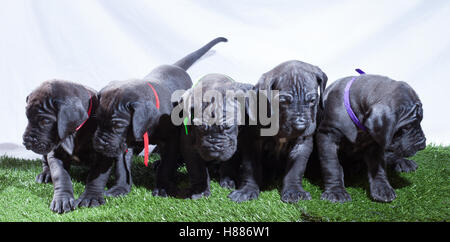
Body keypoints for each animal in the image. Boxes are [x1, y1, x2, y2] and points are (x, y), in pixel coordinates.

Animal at [22, 80, 130, 214]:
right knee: (45, 161)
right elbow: (60, 175)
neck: (73, 133)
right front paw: (62, 199)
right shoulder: (56, 154)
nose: (26, 142)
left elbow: (97, 177)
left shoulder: (104, 153)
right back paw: (46, 174)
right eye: (27, 117)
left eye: (45, 121)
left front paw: (91, 197)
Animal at [92, 37, 227, 197]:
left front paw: (163, 187)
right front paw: (121, 188)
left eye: (118, 126)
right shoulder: (123, 143)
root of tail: (176, 66)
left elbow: (166, 165)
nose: (99, 143)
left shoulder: (171, 141)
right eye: (97, 120)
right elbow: (122, 168)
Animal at [230, 60, 328, 202]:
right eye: (283, 102)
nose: (300, 127)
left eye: (312, 101)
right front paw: (247, 190)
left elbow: (296, 169)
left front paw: (294, 191)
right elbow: (250, 168)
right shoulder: (252, 141)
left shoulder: (302, 144)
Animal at [316, 73, 426, 202]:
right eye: (407, 126)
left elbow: (378, 167)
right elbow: (332, 165)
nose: (422, 144)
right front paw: (336, 192)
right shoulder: (327, 136)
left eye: (420, 121)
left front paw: (382, 188)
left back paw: (403, 162)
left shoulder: (376, 143)